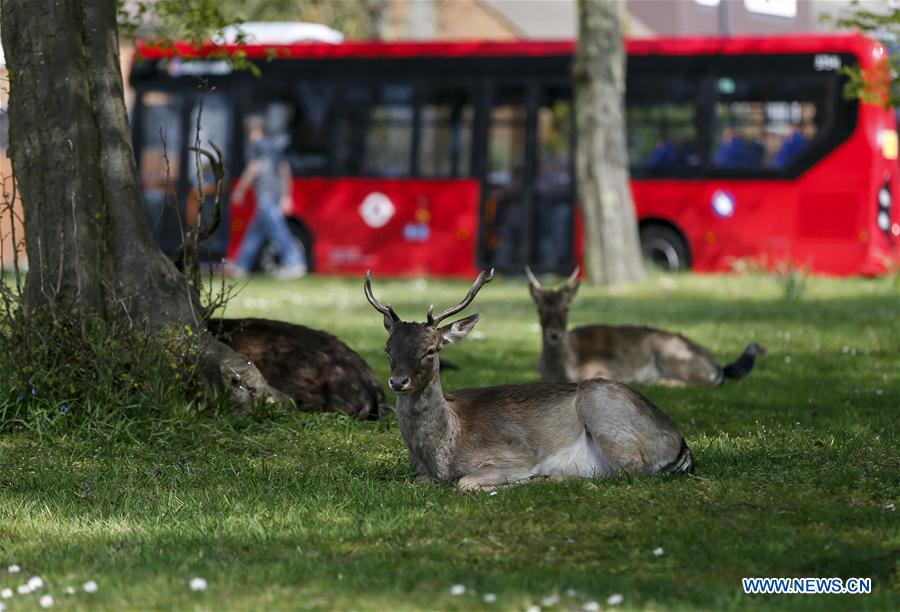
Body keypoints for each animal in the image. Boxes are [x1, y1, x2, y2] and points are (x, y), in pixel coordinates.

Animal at [362, 270, 692, 490]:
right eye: (388, 349)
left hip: (604, 411)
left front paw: (520, 480)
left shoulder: (515, 453)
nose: (398, 382)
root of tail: (680, 444)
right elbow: (418, 480)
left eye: (431, 349)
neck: (441, 455)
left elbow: (465, 482)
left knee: (628, 470)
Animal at [528, 268, 768, 388]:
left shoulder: (604, 369)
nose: (555, 334)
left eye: (567, 307)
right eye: (539, 308)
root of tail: (717, 366)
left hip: (672, 354)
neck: (561, 369)